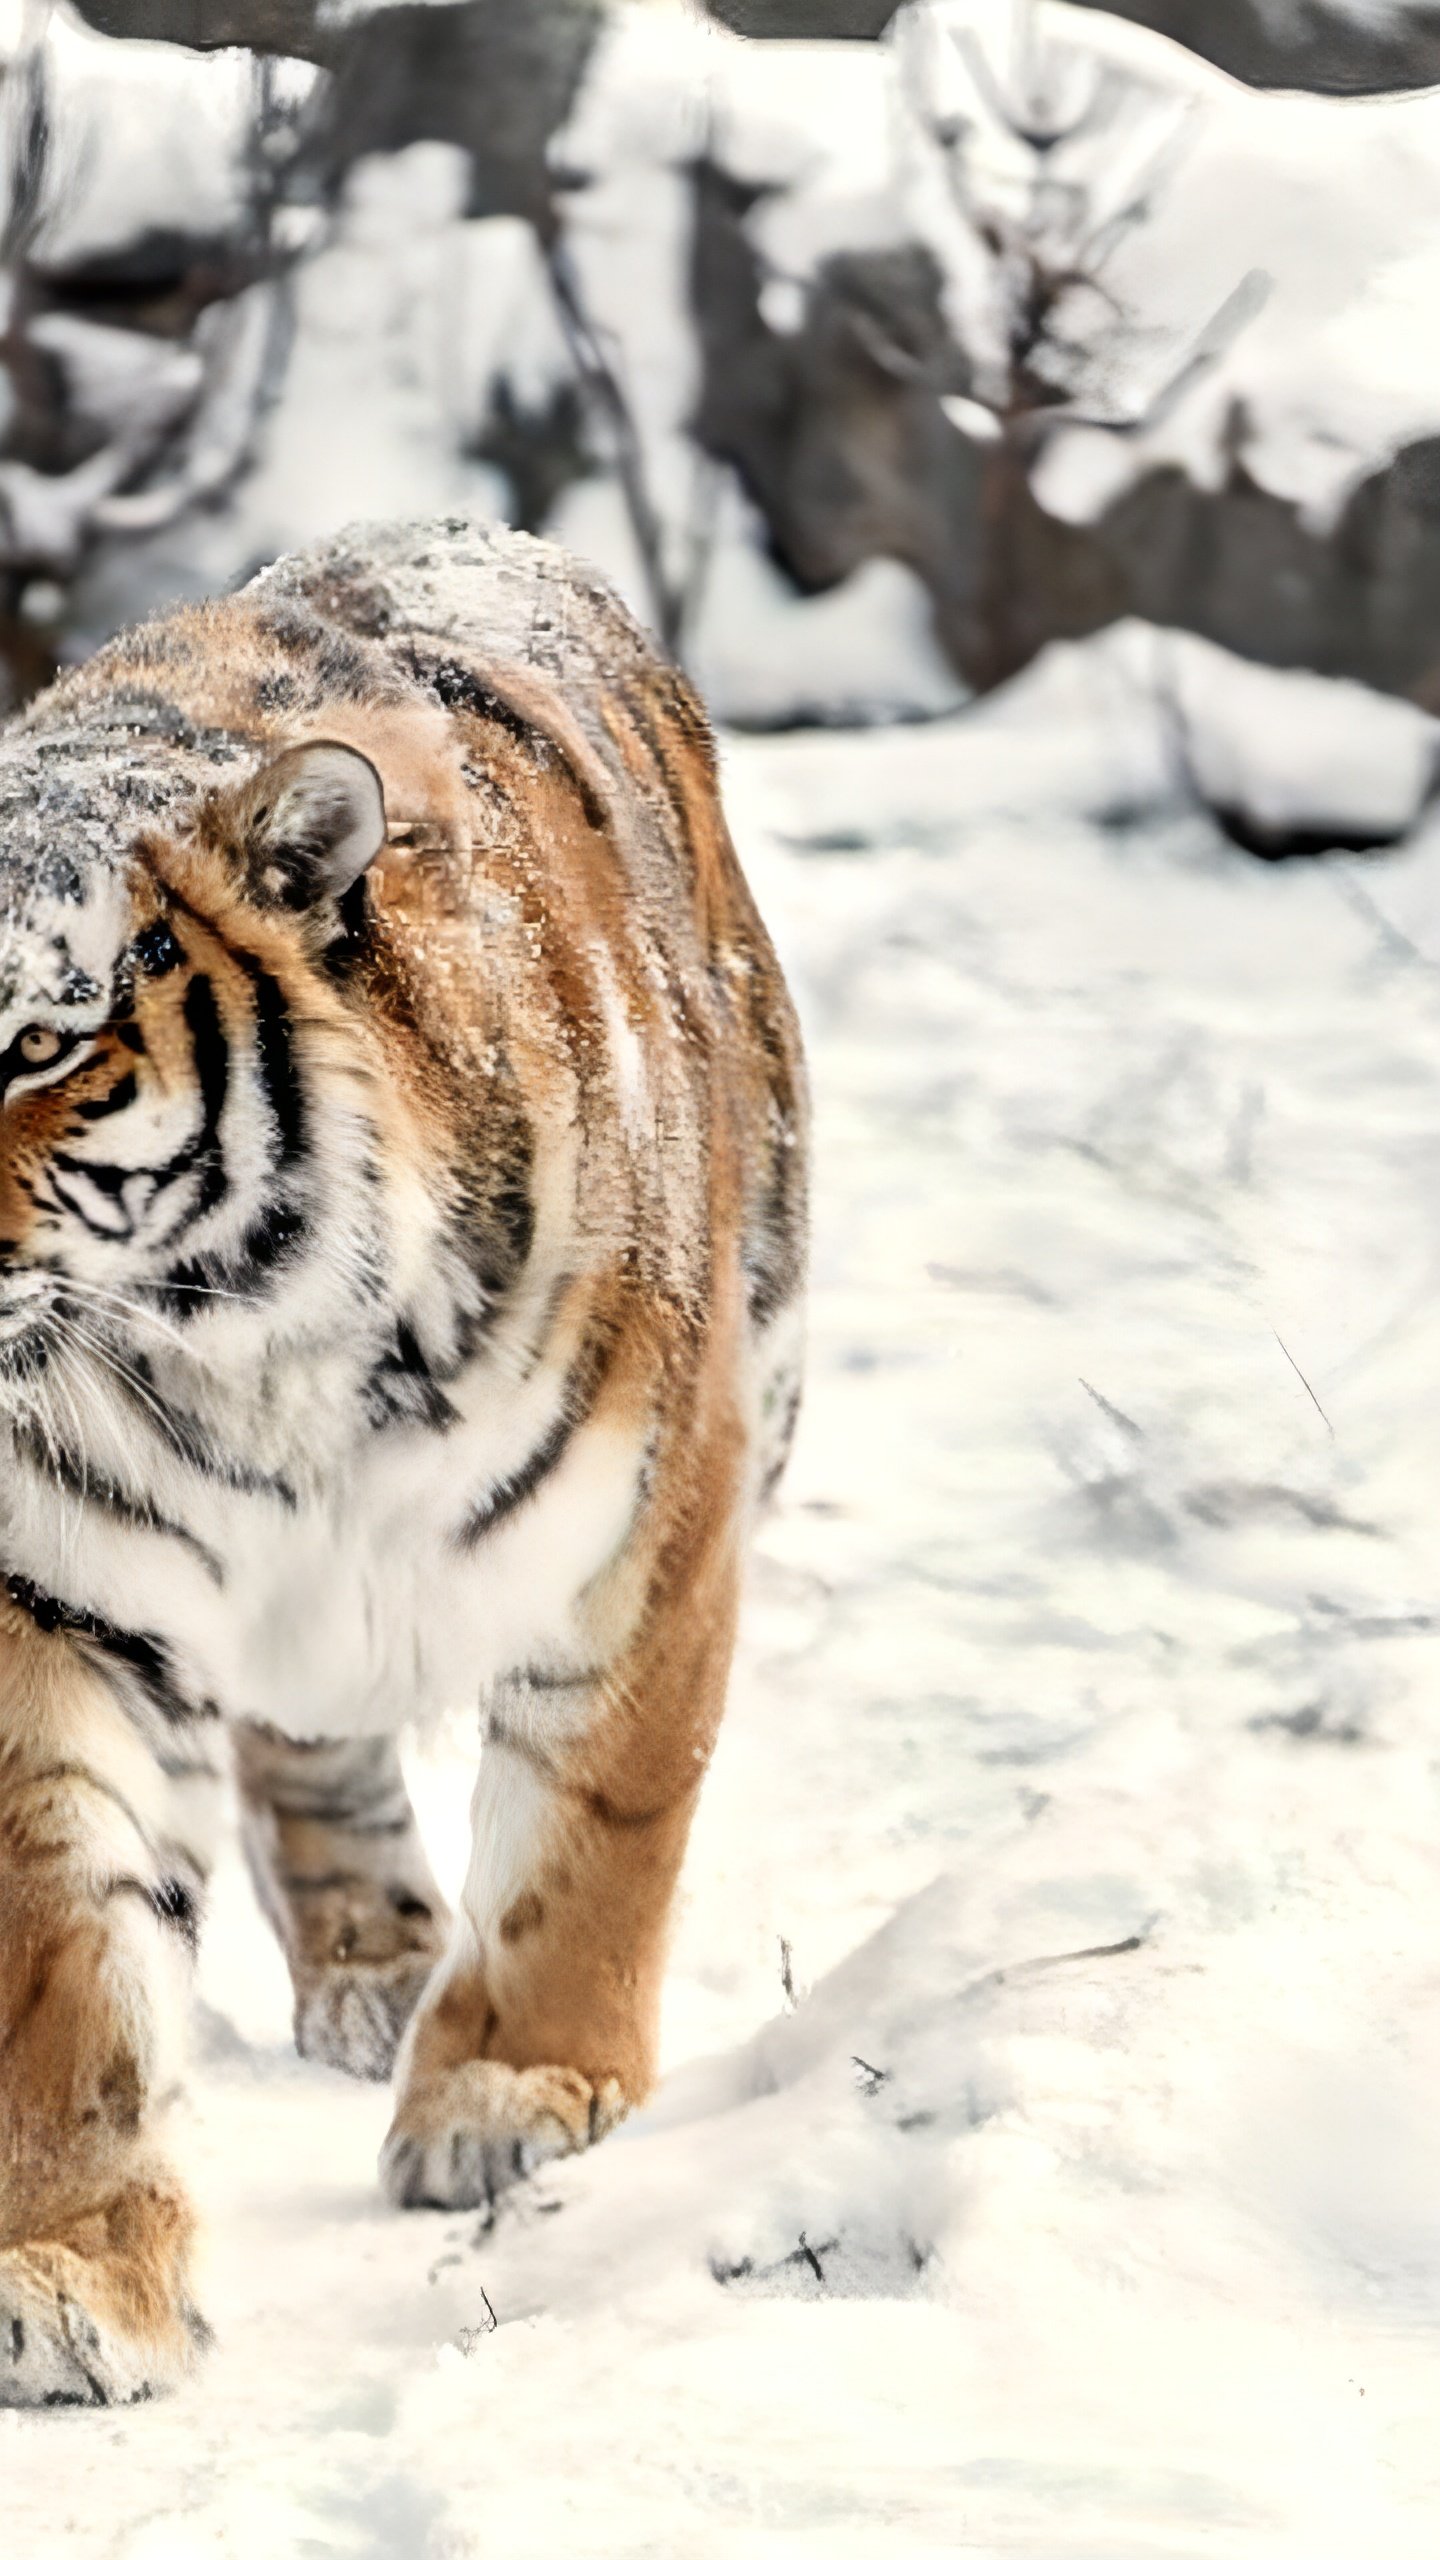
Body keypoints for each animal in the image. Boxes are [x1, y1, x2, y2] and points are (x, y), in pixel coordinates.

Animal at [0, 514, 809, 2396]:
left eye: (39, 1043)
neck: (244, 1349)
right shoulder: (55, 1603)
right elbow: (67, 1947)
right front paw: (75, 2274)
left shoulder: (651, 1525)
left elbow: (598, 1830)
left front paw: (514, 2097)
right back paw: (373, 1963)